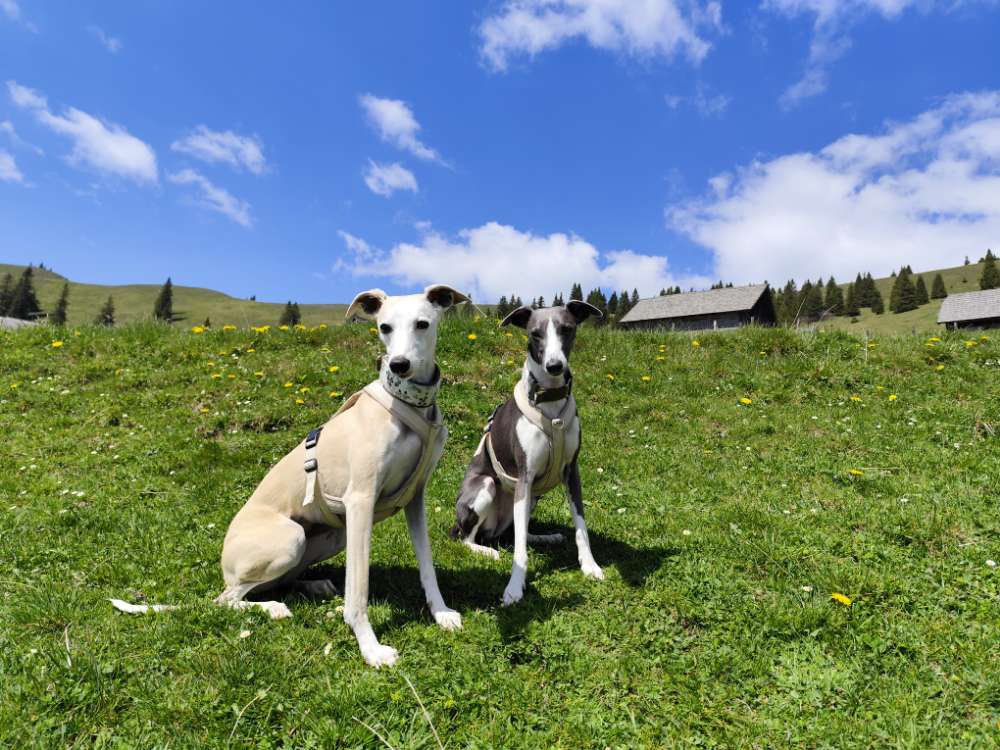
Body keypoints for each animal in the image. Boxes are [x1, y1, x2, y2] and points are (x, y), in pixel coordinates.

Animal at [452, 302, 600, 608]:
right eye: (535, 334)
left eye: (567, 329)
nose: (554, 366)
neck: (550, 403)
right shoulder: (524, 475)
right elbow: (519, 552)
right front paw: (514, 588)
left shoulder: (572, 472)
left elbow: (581, 526)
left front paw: (590, 566)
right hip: (487, 487)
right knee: (471, 539)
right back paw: (488, 551)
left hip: (531, 498)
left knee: (517, 532)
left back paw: (545, 537)